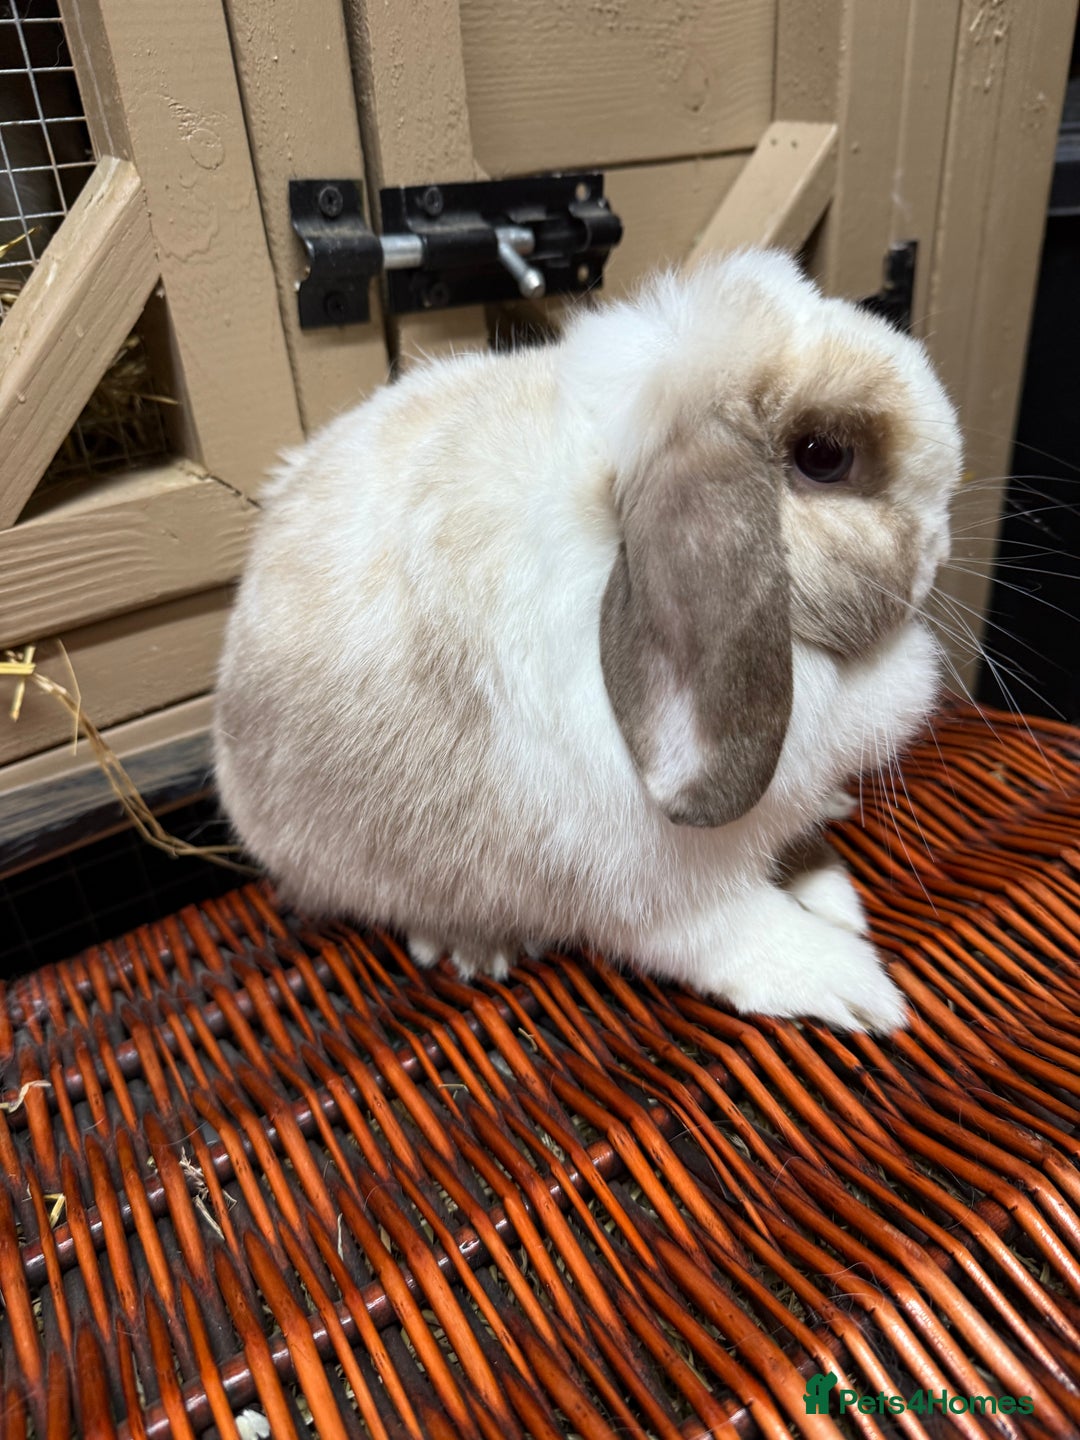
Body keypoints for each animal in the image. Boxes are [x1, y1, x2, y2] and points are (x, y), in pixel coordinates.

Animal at [213, 249, 962, 1032]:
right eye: (823, 456)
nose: (941, 546)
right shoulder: (656, 887)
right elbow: (730, 932)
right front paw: (852, 983)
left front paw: (832, 889)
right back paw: (474, 945)